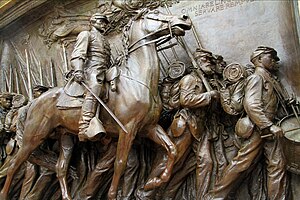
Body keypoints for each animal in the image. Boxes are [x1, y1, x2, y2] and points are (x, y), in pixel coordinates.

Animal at [0, 8, 191, 199]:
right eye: (155, 15)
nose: (185, 18)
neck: (136, 79)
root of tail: (33, 103)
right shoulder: (127, 130)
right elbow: (120, 163)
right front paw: (113, 195)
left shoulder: (149, 127)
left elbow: (172, 148)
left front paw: (155, 182)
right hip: (33, 137)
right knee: (14, 164)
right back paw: (5, 193)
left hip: (66, 137)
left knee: (60, 168)